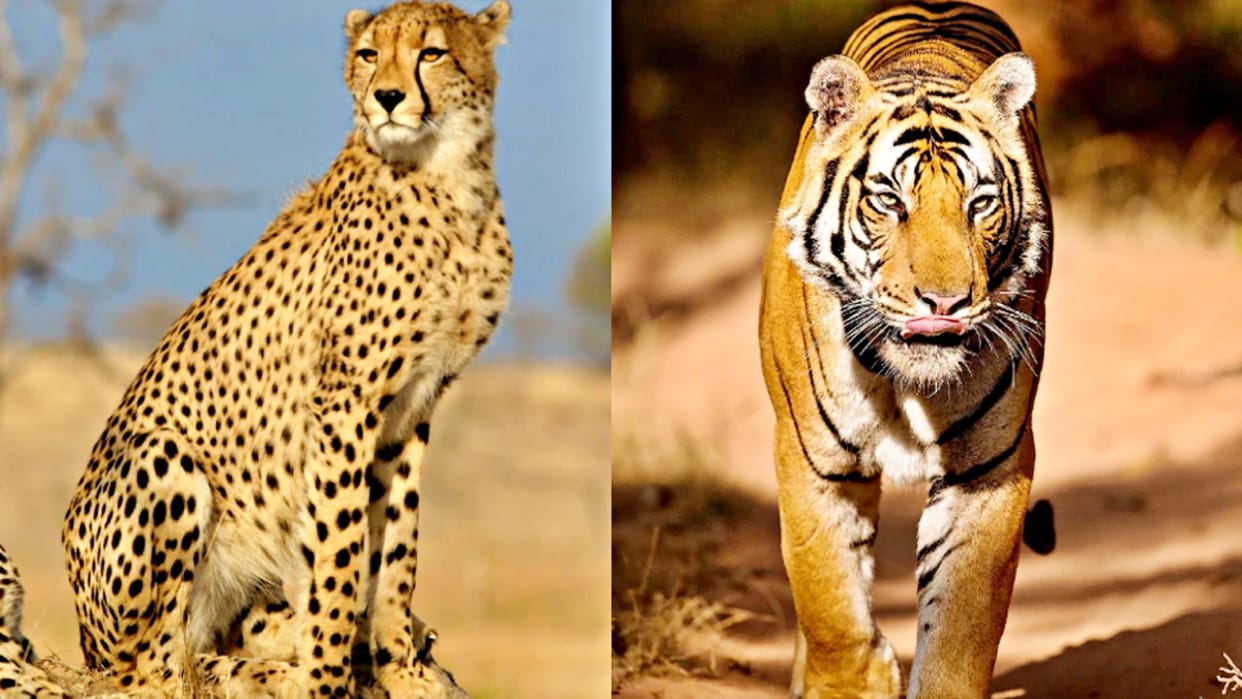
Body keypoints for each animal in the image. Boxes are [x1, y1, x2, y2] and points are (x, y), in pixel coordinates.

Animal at [758, 2, 1053, 697]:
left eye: (981, 203)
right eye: (889, 200)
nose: (944, 302)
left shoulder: (988, 468)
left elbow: (962, 626)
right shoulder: (813, 461)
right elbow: (829, 603)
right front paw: (852, 680)